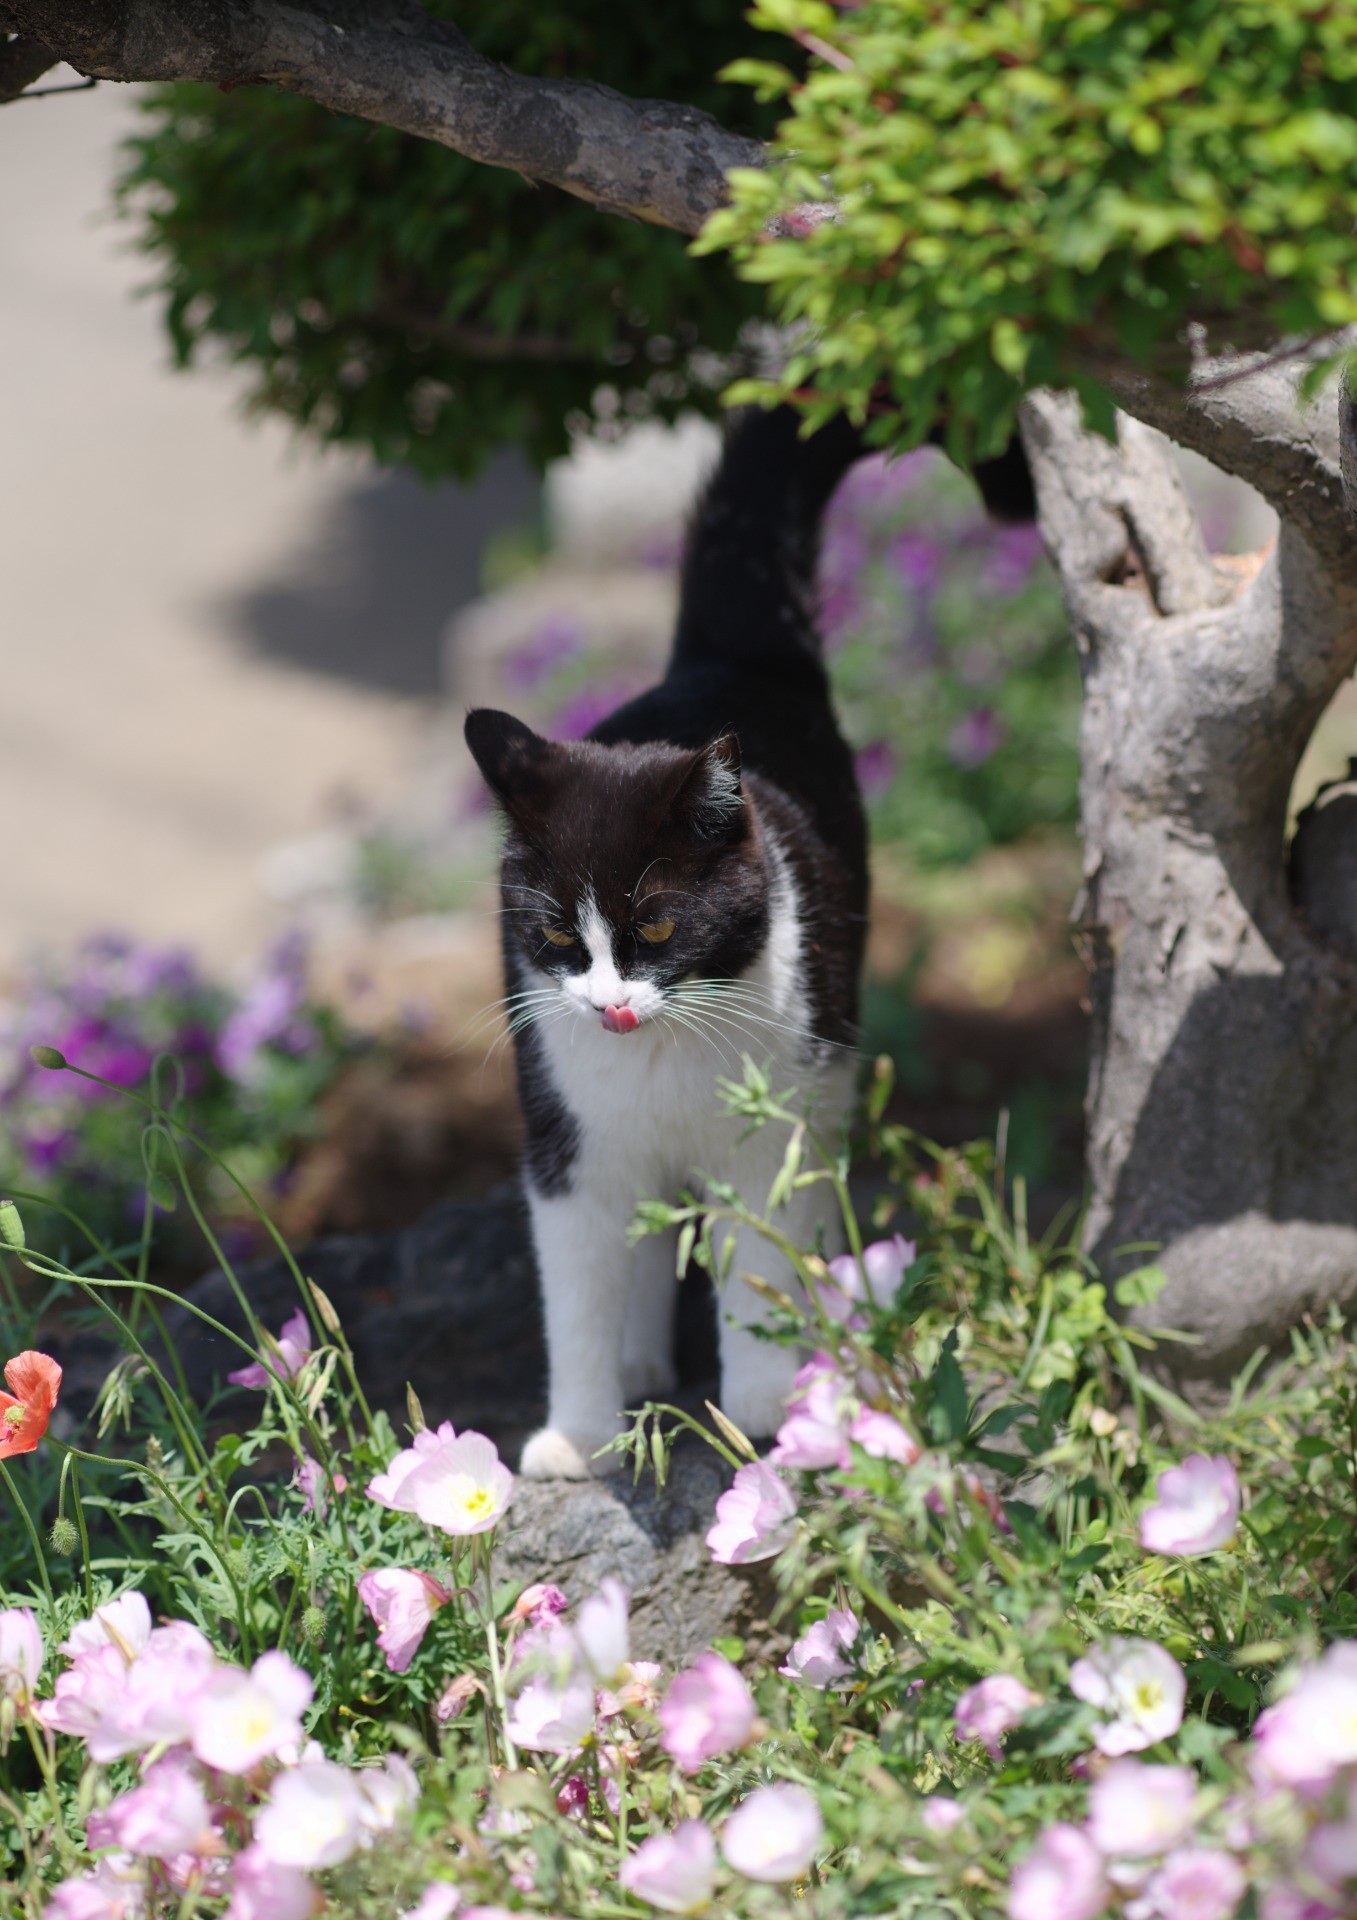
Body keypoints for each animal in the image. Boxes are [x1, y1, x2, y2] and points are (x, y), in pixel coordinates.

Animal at [466, 408, 1028, 1482]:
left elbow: (759, 1253)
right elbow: (580, 1286)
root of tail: (715, 666)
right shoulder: (567, 1139)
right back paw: (641, 1363)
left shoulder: (772, 1128)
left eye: (655, 927)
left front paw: (767, 1403)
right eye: (554, 931)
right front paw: (579, 1437)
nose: (607, 1004)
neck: (660, 1056)